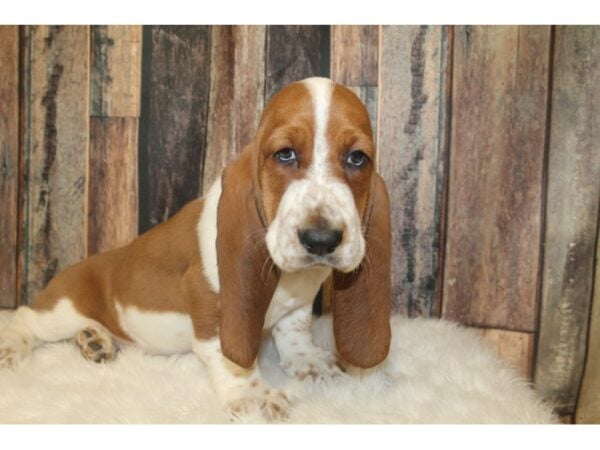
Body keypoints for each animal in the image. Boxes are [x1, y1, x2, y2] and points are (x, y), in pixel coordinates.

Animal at [0, 76, 394, 418]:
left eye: (357, 158)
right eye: (285, 154)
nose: (322, 239)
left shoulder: (297, 306)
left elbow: (292, 331)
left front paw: (308, 361)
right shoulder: (215, 306)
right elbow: (231, 358)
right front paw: (252, 395)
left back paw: (96, 341)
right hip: (61, 311)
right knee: (24, 317)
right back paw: (14, 347)